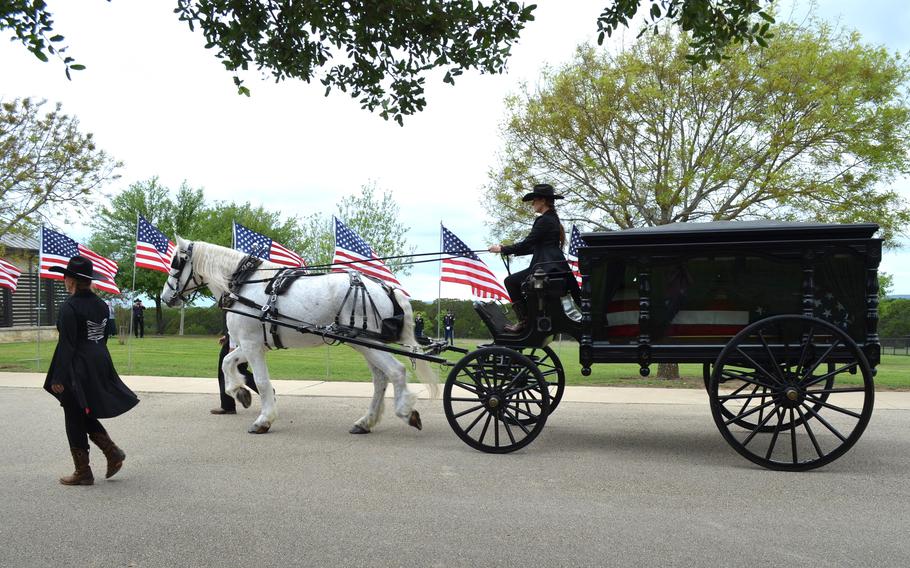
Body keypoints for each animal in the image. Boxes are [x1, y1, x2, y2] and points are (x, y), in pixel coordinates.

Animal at [164, 237, 442, 432]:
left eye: (176, 263)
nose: (166, 297)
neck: (244, 283)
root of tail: (386, 288)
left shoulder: (252, 344)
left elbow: (262, 381)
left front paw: (264, 419)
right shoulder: (251, 344)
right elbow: (227, 362)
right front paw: (240, 391)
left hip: (367, 342)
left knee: (396, 371)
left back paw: (405, 411)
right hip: (366, 344)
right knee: (380, 379)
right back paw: (366, 422)